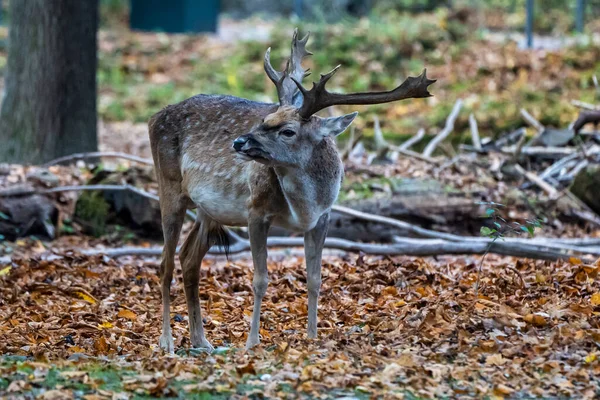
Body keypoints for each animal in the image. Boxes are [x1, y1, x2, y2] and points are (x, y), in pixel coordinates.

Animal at [148, 29, 434, 352]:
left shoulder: (323, 217)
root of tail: (154, 116)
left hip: (209, 210)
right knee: (165, 263)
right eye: (264, 120)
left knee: (188, 258)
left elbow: (315, 279)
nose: (239, 142)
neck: (304, 206)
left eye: (288, 130)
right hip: (169, 185)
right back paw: (167, 342)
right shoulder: (256, 210)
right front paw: (252, 342)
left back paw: (201, 340)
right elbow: (260, 280)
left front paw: (312, 337)